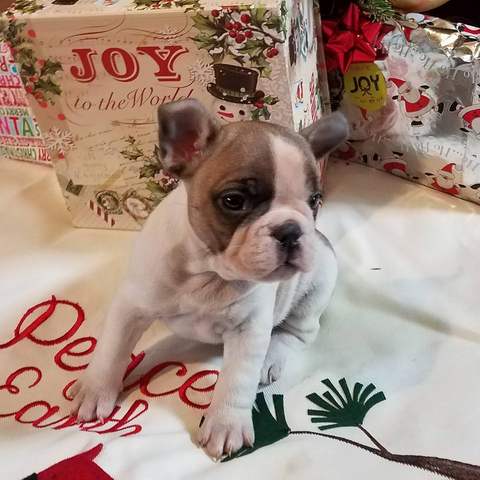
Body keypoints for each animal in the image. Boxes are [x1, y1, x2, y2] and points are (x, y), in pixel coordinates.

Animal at [71, 99, 348, 460]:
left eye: (315, 201)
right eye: (234, 201)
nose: (291, 230)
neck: (207, 270)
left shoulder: (249, 330)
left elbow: (236, 380)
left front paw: (226, 424)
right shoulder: (131, 306)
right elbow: (111, 350)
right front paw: (96, 389)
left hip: (316, 287)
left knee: (297, 333)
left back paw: (270, 357)